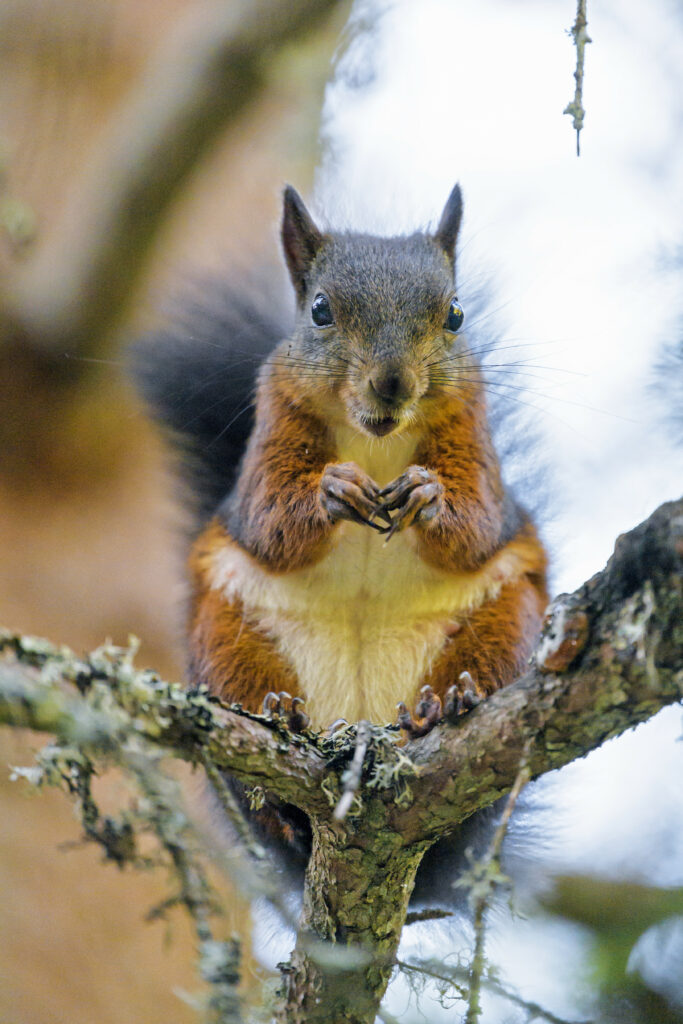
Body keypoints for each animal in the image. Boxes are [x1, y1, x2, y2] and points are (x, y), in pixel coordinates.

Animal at [133, 183, 548, 871]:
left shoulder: (473, 428)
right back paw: (280, 724)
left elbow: (479, 521)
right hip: (226, 632)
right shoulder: (271, 423)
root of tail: (363, 723)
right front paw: (333, 490)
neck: (374, 441)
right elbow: (270, 517)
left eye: (455, 314)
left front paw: (428, 494)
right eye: (320, 310)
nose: (393, 382)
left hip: (507, 617)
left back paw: (447, 703)